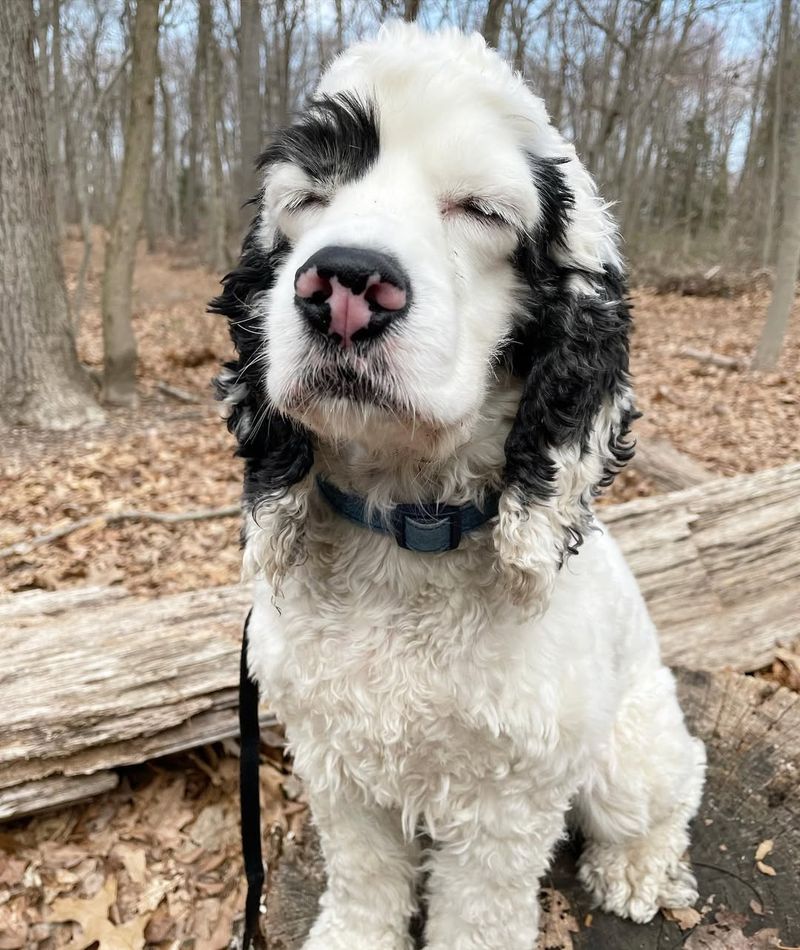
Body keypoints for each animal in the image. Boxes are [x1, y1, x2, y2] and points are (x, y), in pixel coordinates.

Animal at [212, 24, 708, 950]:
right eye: (309, 199)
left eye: (481, 209)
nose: (342, 285)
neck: (407, 531)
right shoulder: (334, 758)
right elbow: (365, 875)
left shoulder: (510, 790)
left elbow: (477, 907)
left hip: (629, 754)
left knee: (667, 793)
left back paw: (637, 871)